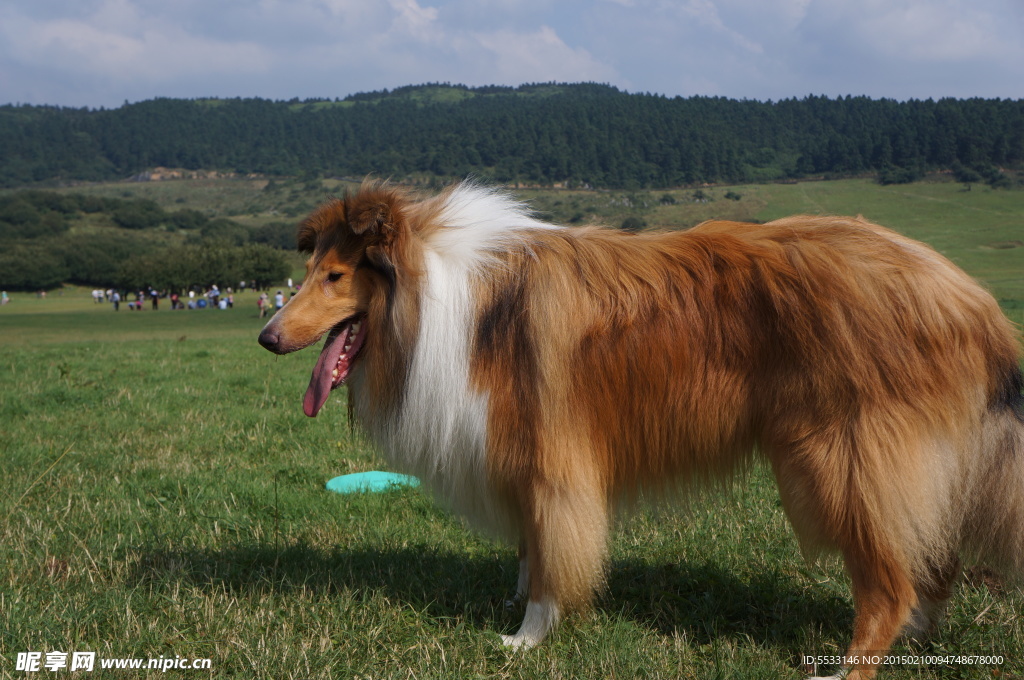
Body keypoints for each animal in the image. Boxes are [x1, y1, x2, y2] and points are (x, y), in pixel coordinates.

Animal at [258, 180, 1024, 680]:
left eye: (335, 276)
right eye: (306, 272)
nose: (266, 337)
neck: (440, 298)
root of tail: (974, 299)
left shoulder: (552, 461)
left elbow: (551, 556)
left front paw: (526, 638)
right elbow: (530, 548)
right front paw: (520, 604)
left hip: (840, 462)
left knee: (892, 583)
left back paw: (851, 667)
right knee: (932, 559)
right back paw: (921, 644)